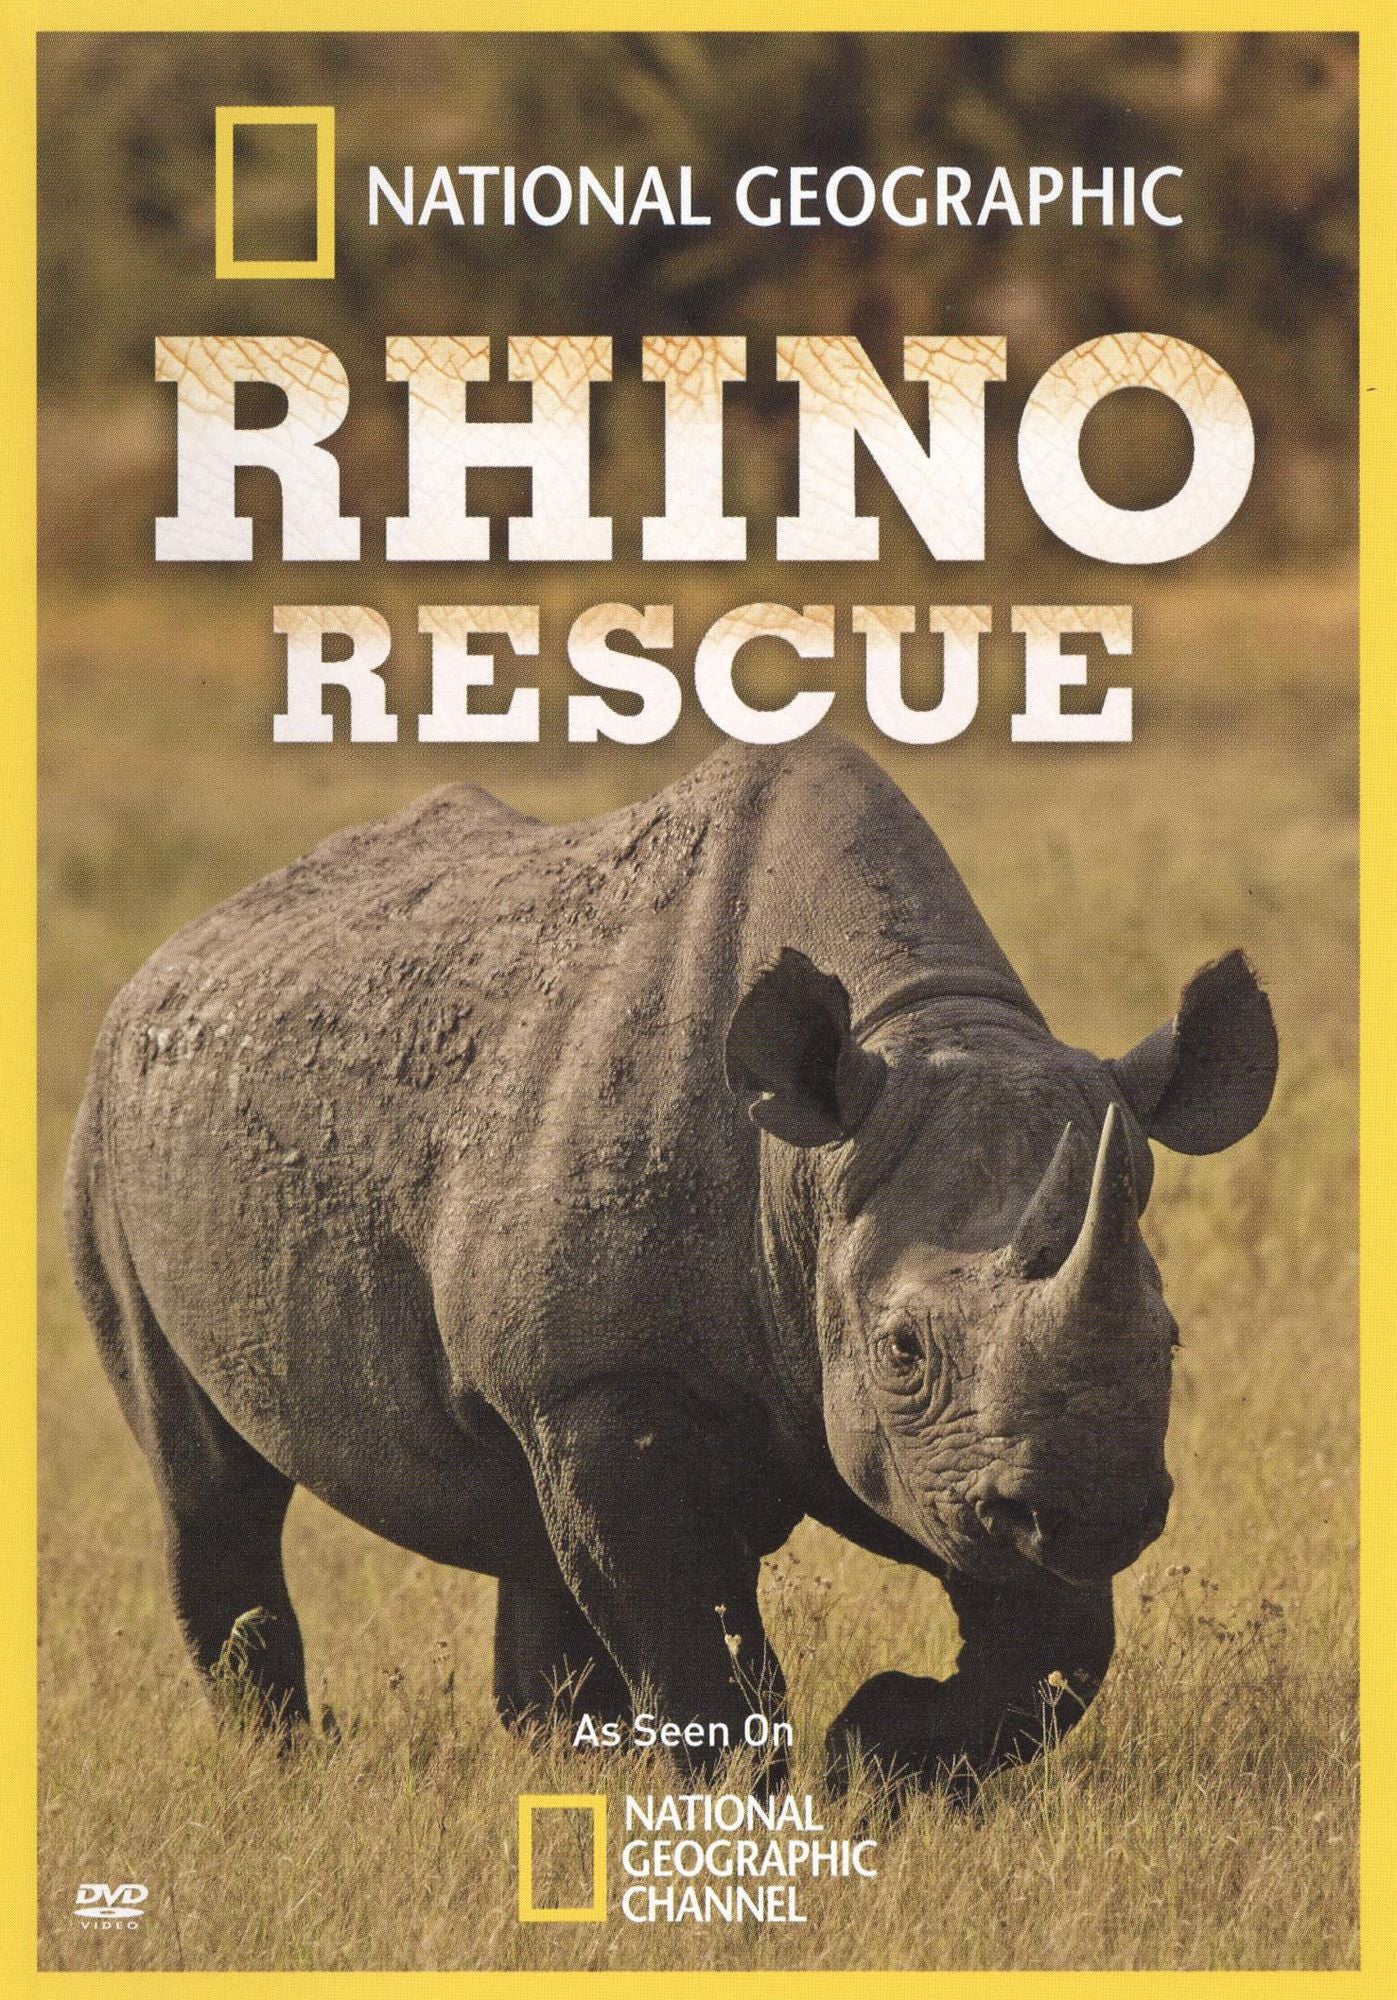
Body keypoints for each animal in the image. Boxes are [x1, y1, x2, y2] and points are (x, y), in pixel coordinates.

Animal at [65, 733, 1277, 1794]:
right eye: (900, 1349)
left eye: (1170, 1337)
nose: (1096, 1512)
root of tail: (174, 951)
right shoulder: (601, 1380)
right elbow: (691, 1639)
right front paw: (748, 1814)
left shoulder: (971, 1453)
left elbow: (1054, 1651)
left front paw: (875, 1753)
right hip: (112, 1127)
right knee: (208, 1478)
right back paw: (290, 1762)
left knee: (521, 1519)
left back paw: (559, 1761)